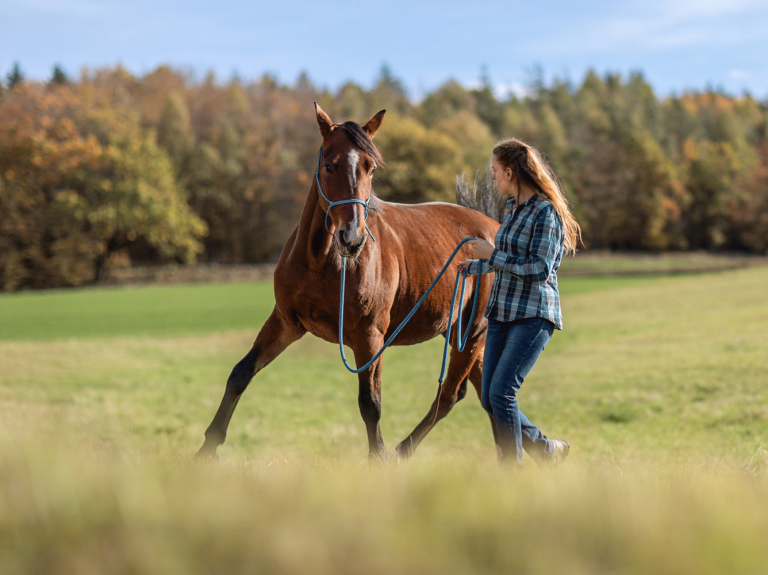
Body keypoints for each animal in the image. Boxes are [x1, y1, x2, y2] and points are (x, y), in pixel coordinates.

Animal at [195, 104, 500, 464]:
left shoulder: (369, 338)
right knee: (485, 394)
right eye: (329, 164)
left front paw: (378, 458)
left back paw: (403, 451)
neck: (321, 262)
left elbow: (370, 403)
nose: (351, 237)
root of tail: (496, 230)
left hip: (473, 333)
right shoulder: (286, 323)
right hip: (461, 334)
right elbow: (240, 373)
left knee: (452, 394)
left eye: (371, 167)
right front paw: (206, 448)